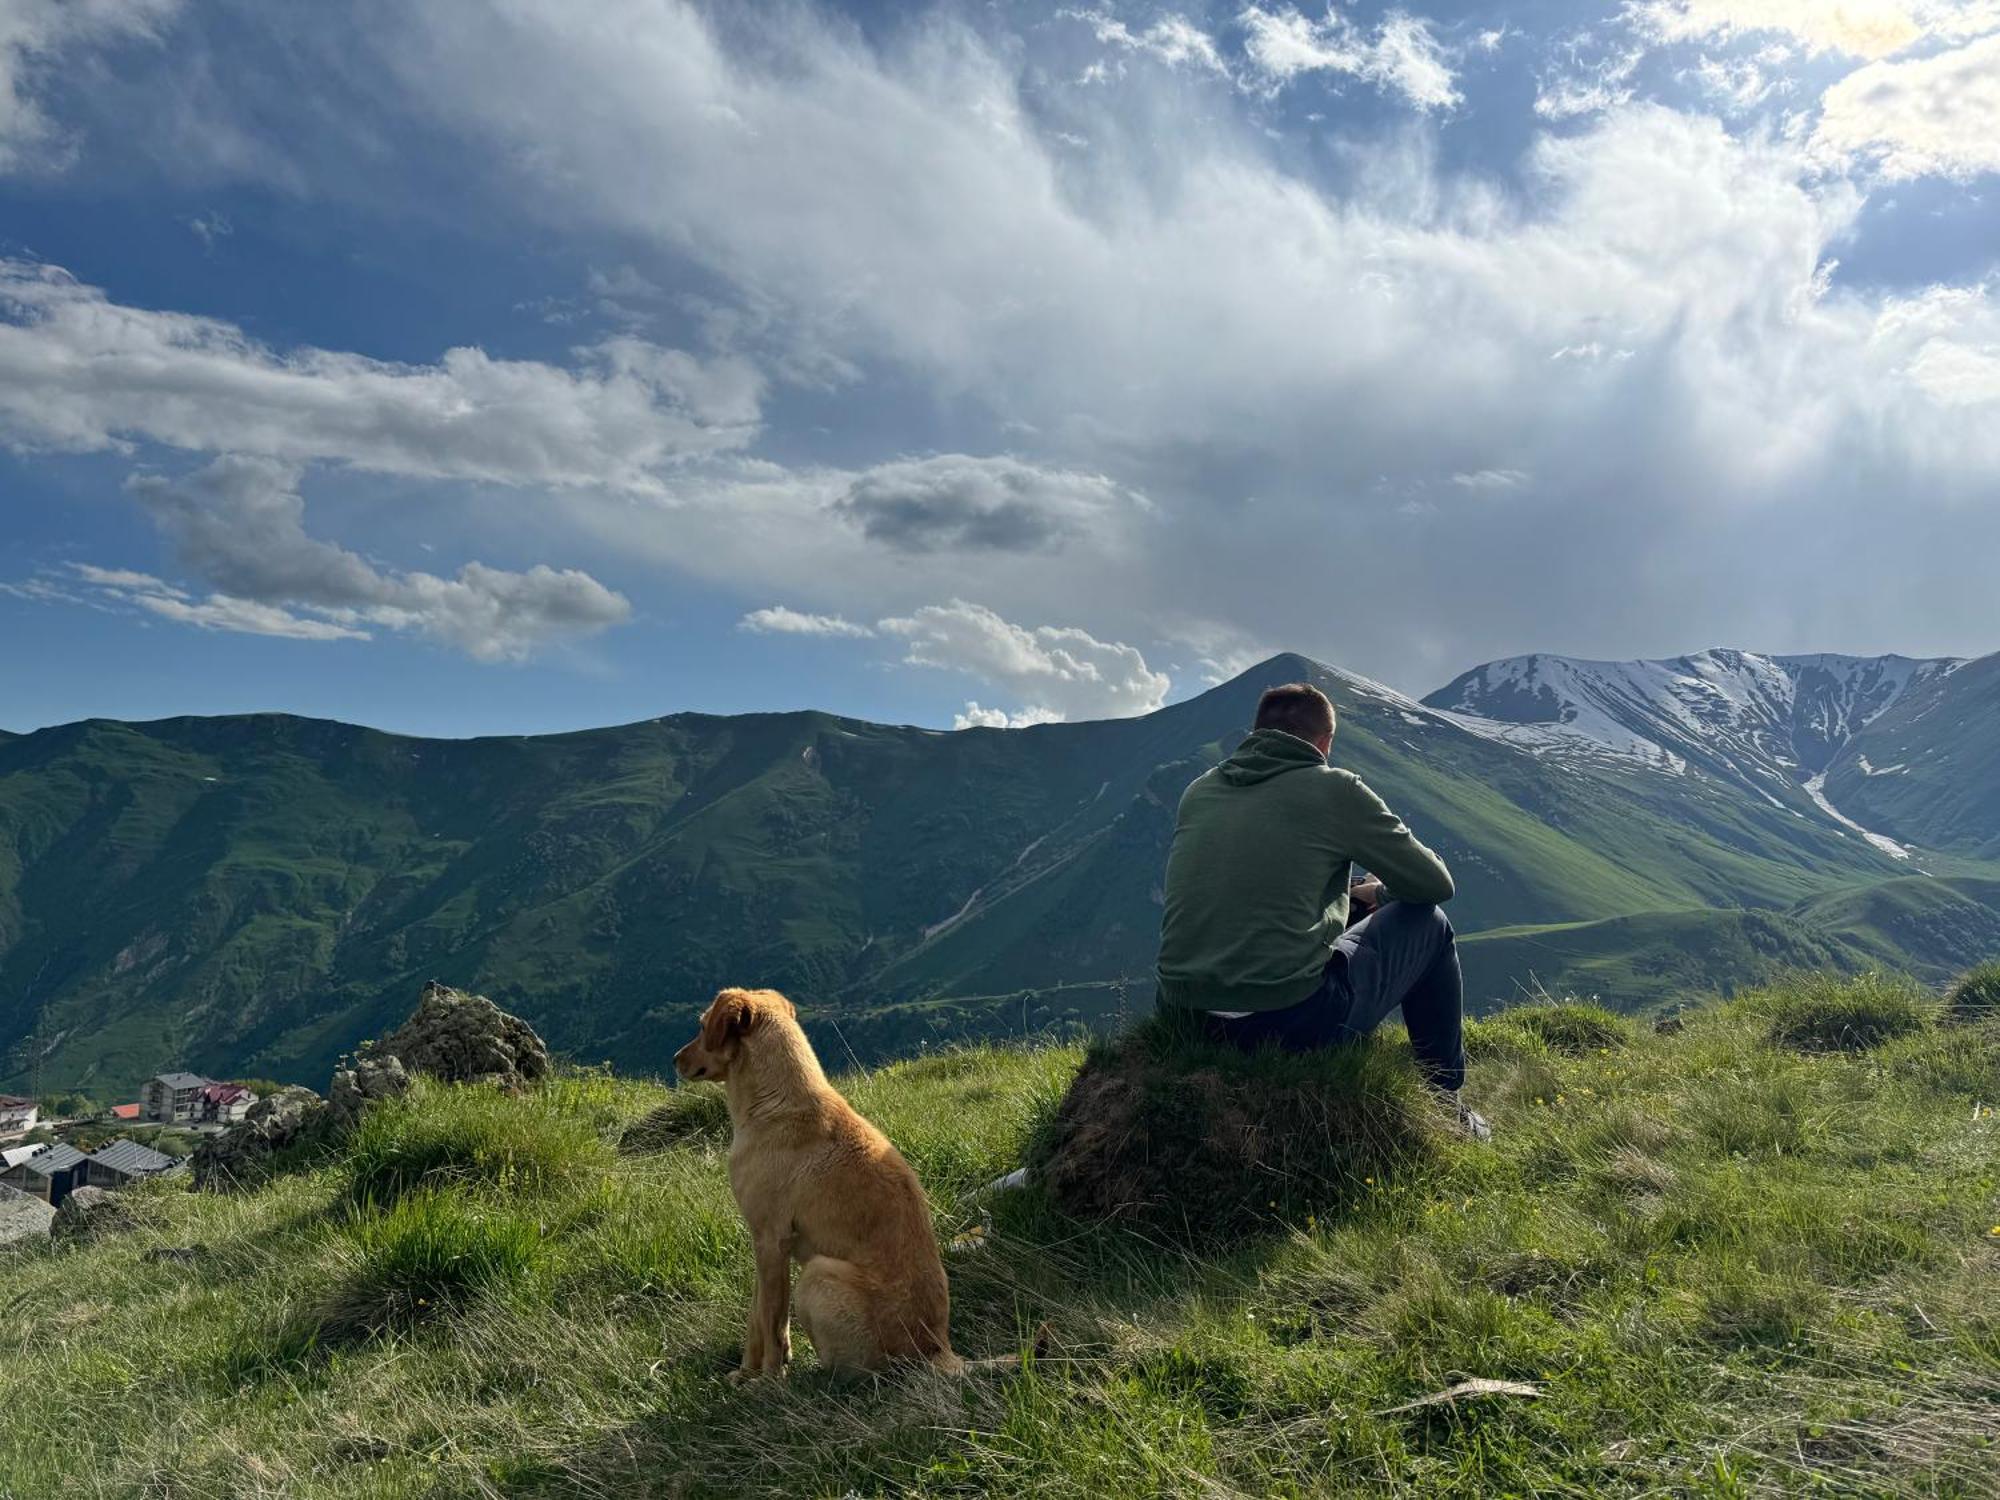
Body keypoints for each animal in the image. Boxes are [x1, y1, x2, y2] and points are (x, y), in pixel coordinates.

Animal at [672, 988, 968, 1384]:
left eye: (703, 1026)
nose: (675, 1059)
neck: (776, 1103)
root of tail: (938, 1350)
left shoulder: (771, 1240)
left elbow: (771, 1322)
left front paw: (767, 1380)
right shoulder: (762, 1243)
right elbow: (757, 1319)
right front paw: (746, 1373)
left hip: (817, 1275)